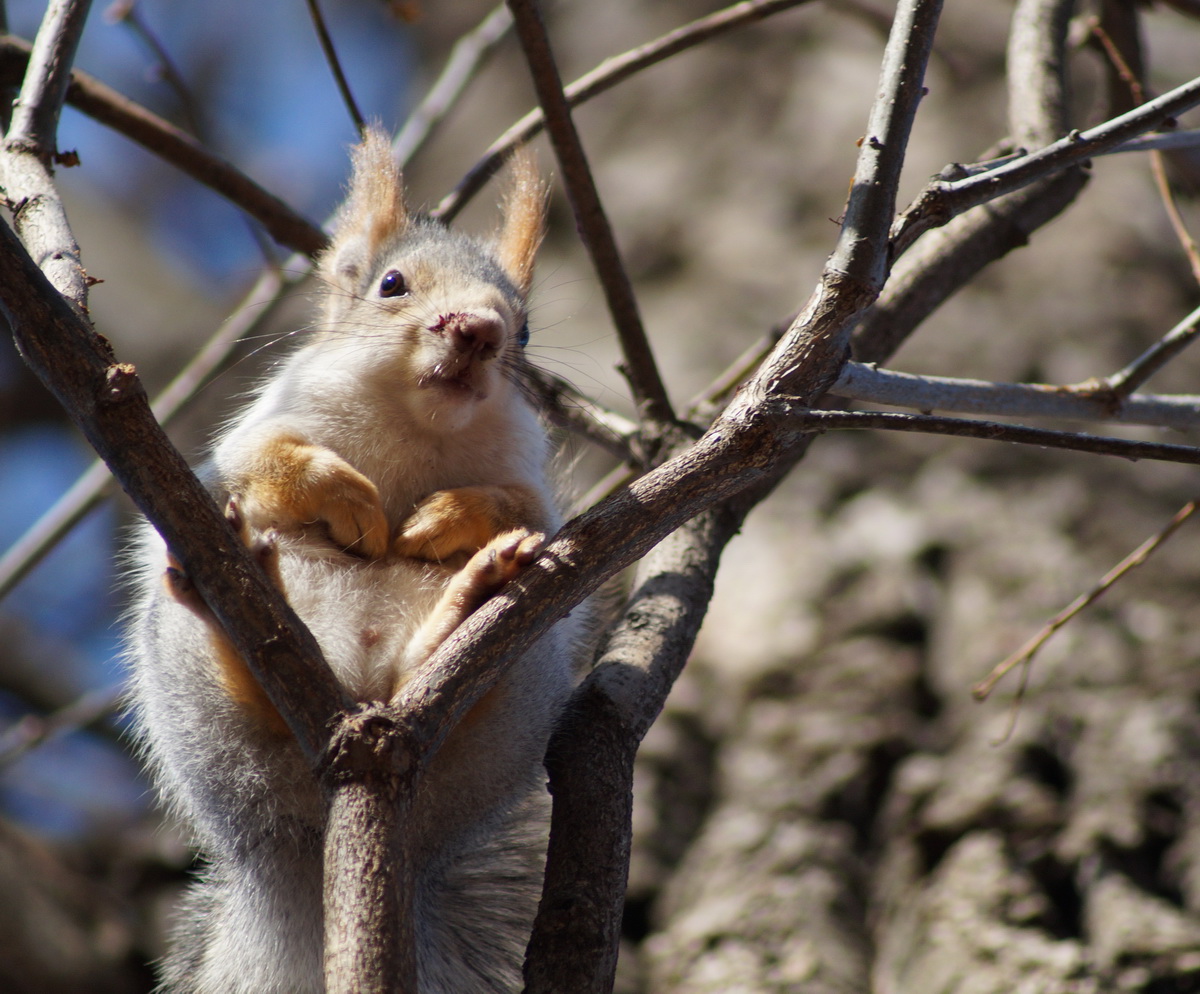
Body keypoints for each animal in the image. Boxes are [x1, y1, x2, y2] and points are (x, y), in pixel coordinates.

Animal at [124, 132, 583, 994]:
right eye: (391, 285)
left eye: (526, 329)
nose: (477, 330)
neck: (412, 428)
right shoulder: (248, 442)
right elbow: (273, 465)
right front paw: (353, 501)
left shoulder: (533, 492)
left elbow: (514, 510)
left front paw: (442, 519)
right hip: (194, 677)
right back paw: (233, 599)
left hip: (517, 683)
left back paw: (469, 598)